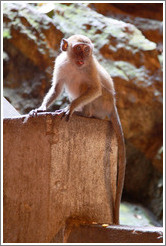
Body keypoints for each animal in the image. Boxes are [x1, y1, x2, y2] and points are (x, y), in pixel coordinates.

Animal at [29, 34, 126, 225]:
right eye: (79, 49)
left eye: (86, 50)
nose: (83, 57)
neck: (75, 65)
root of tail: (112, 106)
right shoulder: (60, 63)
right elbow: (57, 87)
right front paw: (42, 108)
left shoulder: (90, 67)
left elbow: (95, 89)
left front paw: (70, 108)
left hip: (102, 103)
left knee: (89, 88)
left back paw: (84, 114)